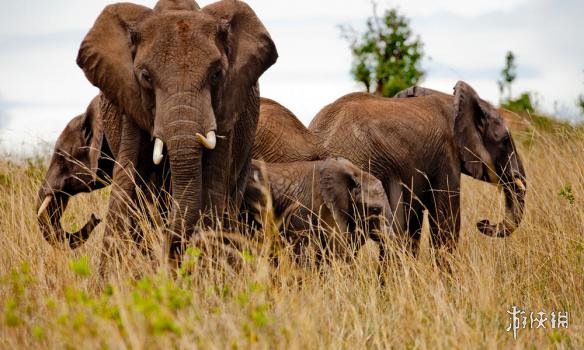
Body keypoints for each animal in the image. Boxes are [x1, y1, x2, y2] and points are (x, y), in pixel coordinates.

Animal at [76, 0, 278, 266]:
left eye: (216, 74)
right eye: (145, 76)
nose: (168, 253)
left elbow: (213, 186)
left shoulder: (227, 105)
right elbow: (126, 182)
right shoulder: (129, 99)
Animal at [308, 82, 528, 258]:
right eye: (505, 140)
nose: (483, 223)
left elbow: (412, 226)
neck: (452, 101)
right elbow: (446, 225)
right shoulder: (446, 156)